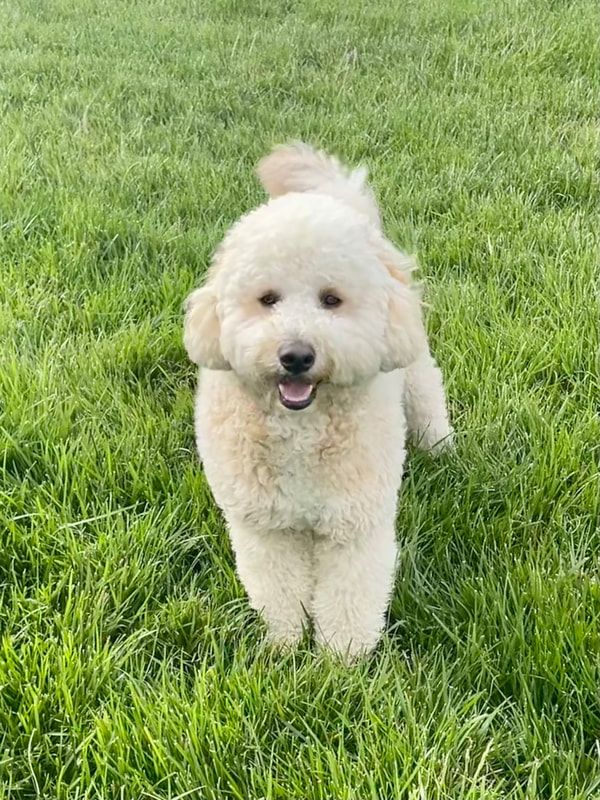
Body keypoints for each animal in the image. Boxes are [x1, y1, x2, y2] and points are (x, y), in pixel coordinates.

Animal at [185, 147, 452, 660]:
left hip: (413, 366)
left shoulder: (356, 523)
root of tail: (333, 201)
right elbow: (277, 590)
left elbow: (349, 596)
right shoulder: (263, 526)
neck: (301, 429)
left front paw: (341, 662)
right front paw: (285, 647)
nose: (295, 356)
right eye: (267, 298)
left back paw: (441, 447)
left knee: (428, 393)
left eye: (331, 299)